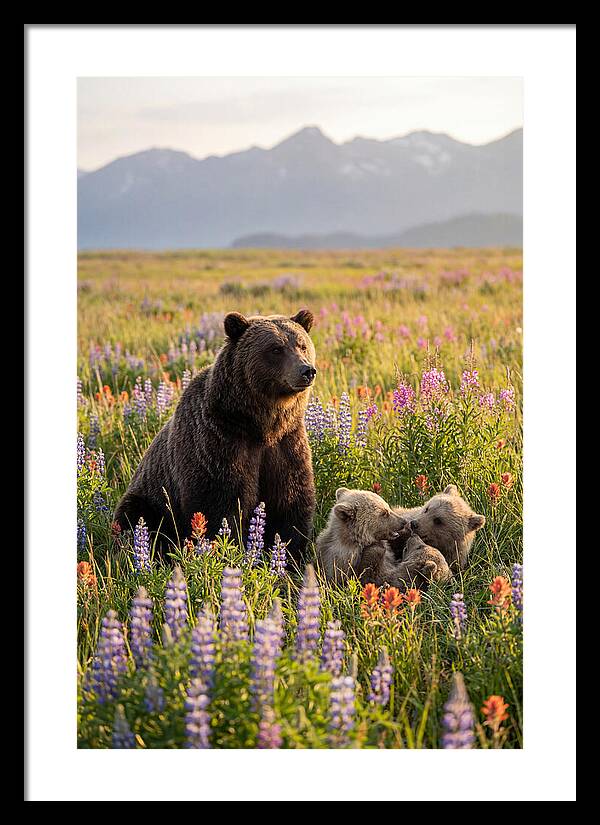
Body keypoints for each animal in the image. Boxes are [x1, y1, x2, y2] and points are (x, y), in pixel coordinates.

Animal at [113, 309, 318, 563]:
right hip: (150, 498)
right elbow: (219, 504)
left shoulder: (286, 444)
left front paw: (290, 558)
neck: (260, 425)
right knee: (137, 519)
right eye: (276, 349)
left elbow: (291, 501)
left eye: (302, 345)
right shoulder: (218, 442)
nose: (306, 370)